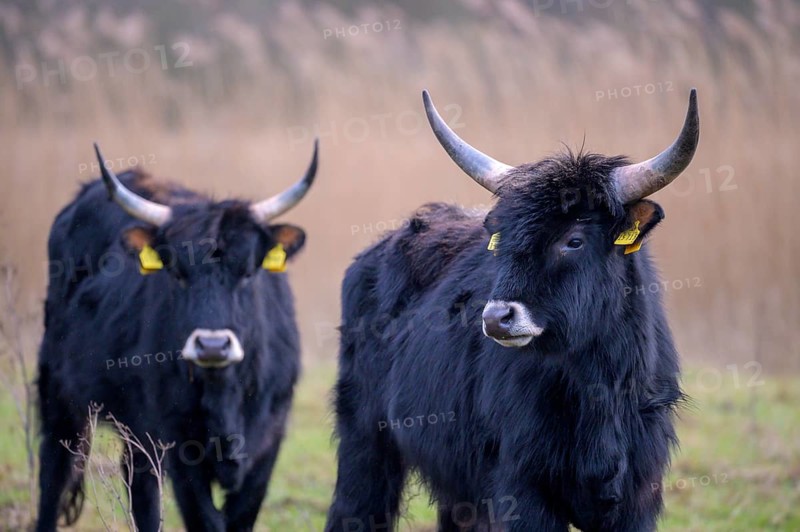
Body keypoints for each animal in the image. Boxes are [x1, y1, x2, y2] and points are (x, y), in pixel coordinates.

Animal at [36, 140, 318, 532]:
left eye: (248, 272)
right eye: (178, 274)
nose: (212, 345)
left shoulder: (267, 447)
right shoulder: (180, 449)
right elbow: (205, 520)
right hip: (59, 394)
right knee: (54, 474)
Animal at [324, 90, 699, 532]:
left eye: (574, 239)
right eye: (500, 236)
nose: (496, 318)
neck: (599, 385)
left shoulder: (635, 499)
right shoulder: (523, 489)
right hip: (365, 442)